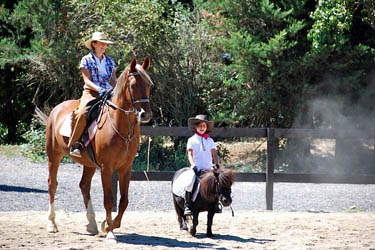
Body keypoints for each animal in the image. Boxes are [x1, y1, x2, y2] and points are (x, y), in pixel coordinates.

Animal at [43, 56, 151, 240]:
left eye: (149, 85)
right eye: (133, 86)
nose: (145, 114)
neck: (119, 125)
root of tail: (57, 108)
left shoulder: (126, 168)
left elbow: (124, 200)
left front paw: (108, 225)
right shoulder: (107, 169)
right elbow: (109, 200)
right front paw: (110, 231)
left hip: (89, 164)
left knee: (84, 186)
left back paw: (92, 224)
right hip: (54, 156)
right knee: (52, 185)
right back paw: (52, 224)